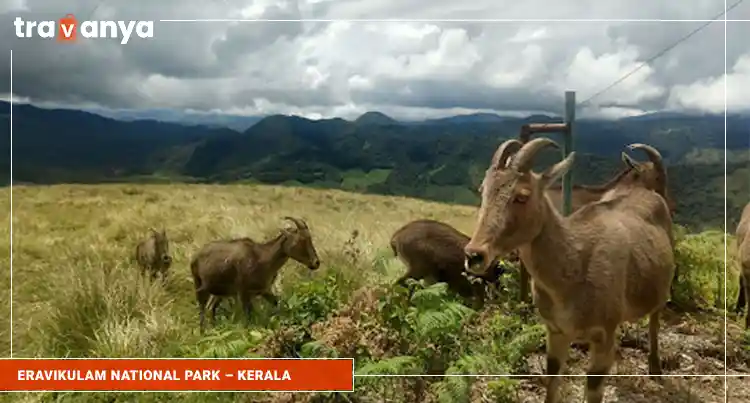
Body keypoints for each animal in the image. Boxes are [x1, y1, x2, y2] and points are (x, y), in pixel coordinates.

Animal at [191, 216, 320, 332]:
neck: (261, 257)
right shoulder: (243, 292)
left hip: (220, 293)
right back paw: (203, 333)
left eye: (309, 238)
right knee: (202, 308)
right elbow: (248, 316)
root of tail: (196, 256)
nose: (316, 262)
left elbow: (277, 303)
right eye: (300, 240)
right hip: (199, 285)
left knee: (211, 307)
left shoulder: (264, 290)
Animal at [464, 139, 676, 403]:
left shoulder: (603, 333)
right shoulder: (556, 331)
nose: (474, 255)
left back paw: (655, 368)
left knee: (655, 319)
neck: (573, 270)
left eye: (522, 196)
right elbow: (553, 378)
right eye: (483, 190)